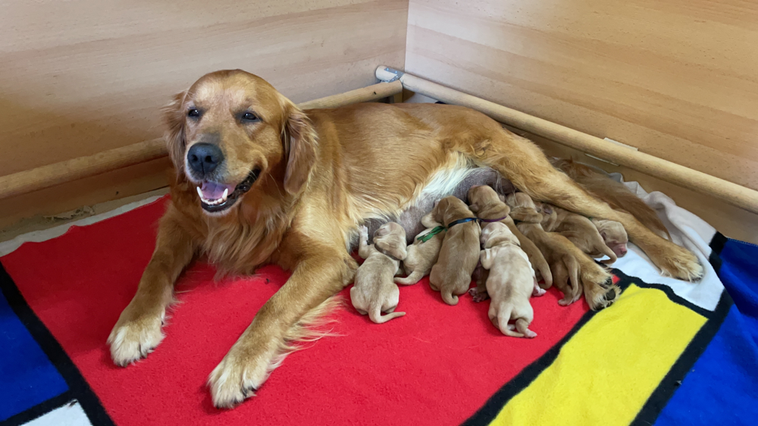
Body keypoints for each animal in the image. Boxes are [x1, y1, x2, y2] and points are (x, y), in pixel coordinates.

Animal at [108, 70, 708, 410]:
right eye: (193, 113)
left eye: (250, 116)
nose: (200, 156)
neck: (251, 206)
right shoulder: (180, 223)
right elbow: (153, 270)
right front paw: (134, 324)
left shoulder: (328, 259)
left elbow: (270, 309)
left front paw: (238, 366)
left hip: (533, 176)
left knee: (618, 213)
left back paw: (676, 256)